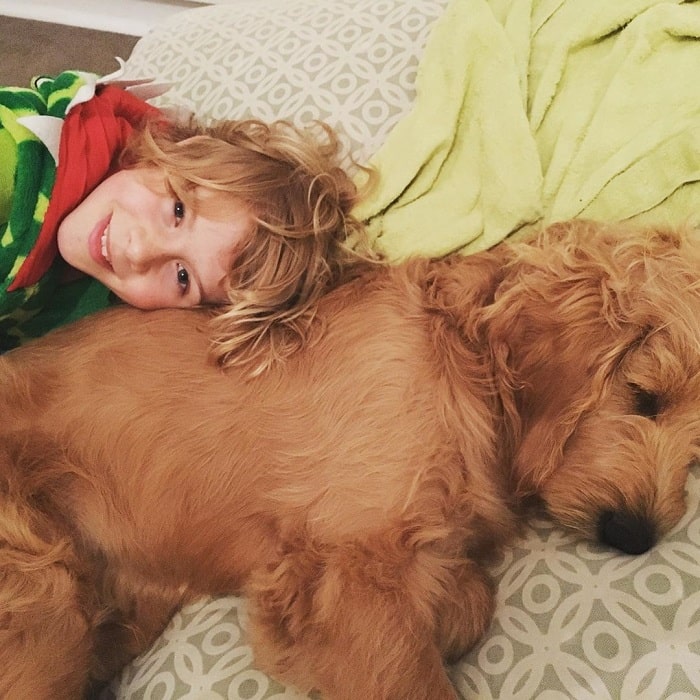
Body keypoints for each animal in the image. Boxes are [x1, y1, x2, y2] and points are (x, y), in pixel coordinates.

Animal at [1, 220, 700, 700]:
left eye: (696, 454)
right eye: (644, 397)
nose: (636, 536)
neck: (459, 359)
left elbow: (470, 600)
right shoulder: (354, 569)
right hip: (42, 600)